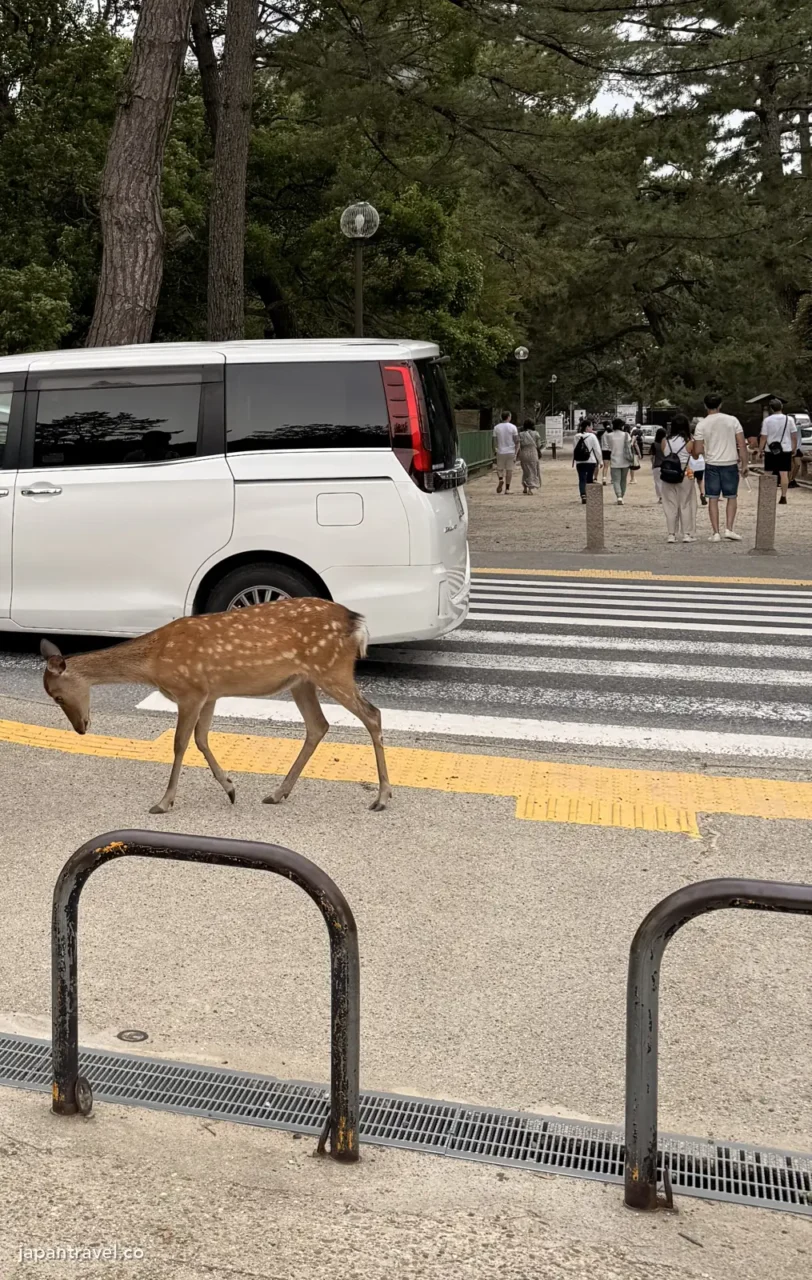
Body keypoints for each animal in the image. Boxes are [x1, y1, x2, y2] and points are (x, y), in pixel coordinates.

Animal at [40, 598, 391, 816]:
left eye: (57, 696)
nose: (81, 728)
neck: (154, 664)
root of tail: (357, 624)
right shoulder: (210, 694)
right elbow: (201, 739)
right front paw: (230, 788)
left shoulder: (191, 690)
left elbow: (180, 743)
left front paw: (164, 802)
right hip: (302, 680)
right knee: (318, 725)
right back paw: (278, 793)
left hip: (332, 670)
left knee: (372, 714)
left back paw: (382, 797)